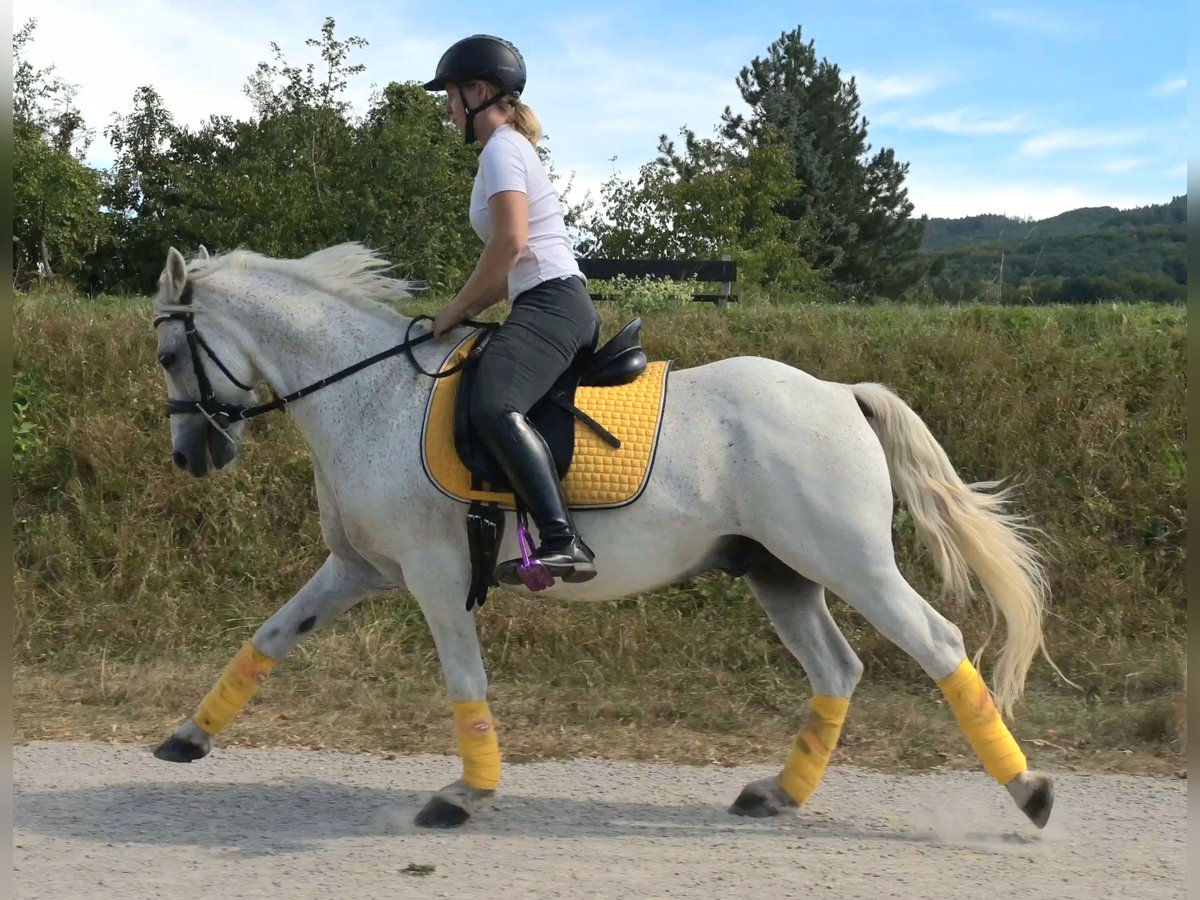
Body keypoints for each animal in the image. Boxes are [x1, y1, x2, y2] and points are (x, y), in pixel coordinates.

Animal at [150, 241, 1060, 830]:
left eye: (166, 354)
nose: (192, 455)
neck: (367, 397)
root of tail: (840, 393)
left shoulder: (434, 575)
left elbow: (464, 680)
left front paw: (466, 794)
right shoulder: (358, 567)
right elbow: (270, 636)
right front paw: (187, 737)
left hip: (849, 562)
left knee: (939, 645)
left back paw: (1031, 792)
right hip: (778, 571)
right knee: (837, 669)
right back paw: (778, 794)